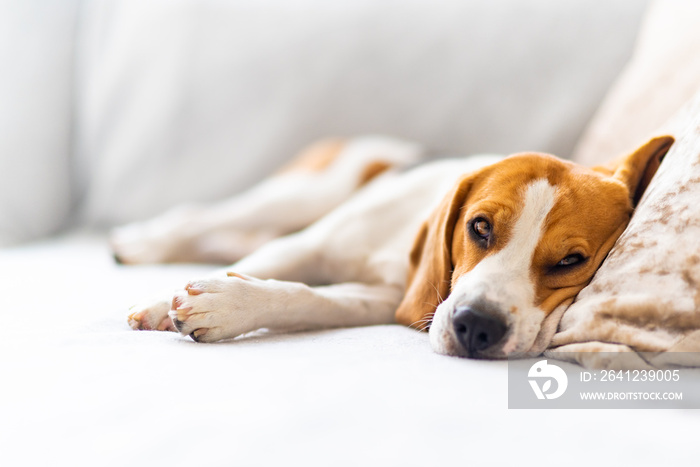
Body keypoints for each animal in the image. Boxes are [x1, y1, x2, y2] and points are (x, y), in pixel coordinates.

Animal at [115, 135, 672, 358]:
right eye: (480, 228)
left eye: (570, 261)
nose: (477, 327)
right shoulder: (310, 245)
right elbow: (257, 266)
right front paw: (165, 303)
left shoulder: (389, 299)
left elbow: (308, 298)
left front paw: (230, 304)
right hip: (304, 194)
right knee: (202, 218)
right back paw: (142, 243)